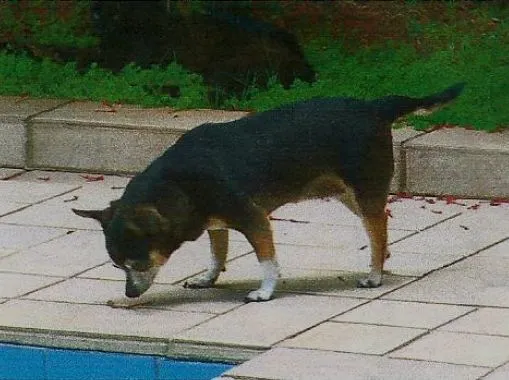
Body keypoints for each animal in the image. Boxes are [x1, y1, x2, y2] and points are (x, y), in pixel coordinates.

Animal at [73, 81, 466, 302]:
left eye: (137, 264)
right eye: (116, 266)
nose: (128, 294)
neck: (178, 183)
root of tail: (374, 107)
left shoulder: (254, 220)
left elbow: (267, 260)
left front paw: (264, 291)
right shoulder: (218, 224)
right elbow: (217, 253)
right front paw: (208, 278)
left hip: (363, 193)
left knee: (377, 227)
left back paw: (374, 274)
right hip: (349, 195)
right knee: (382, 224)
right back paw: (380, 261)